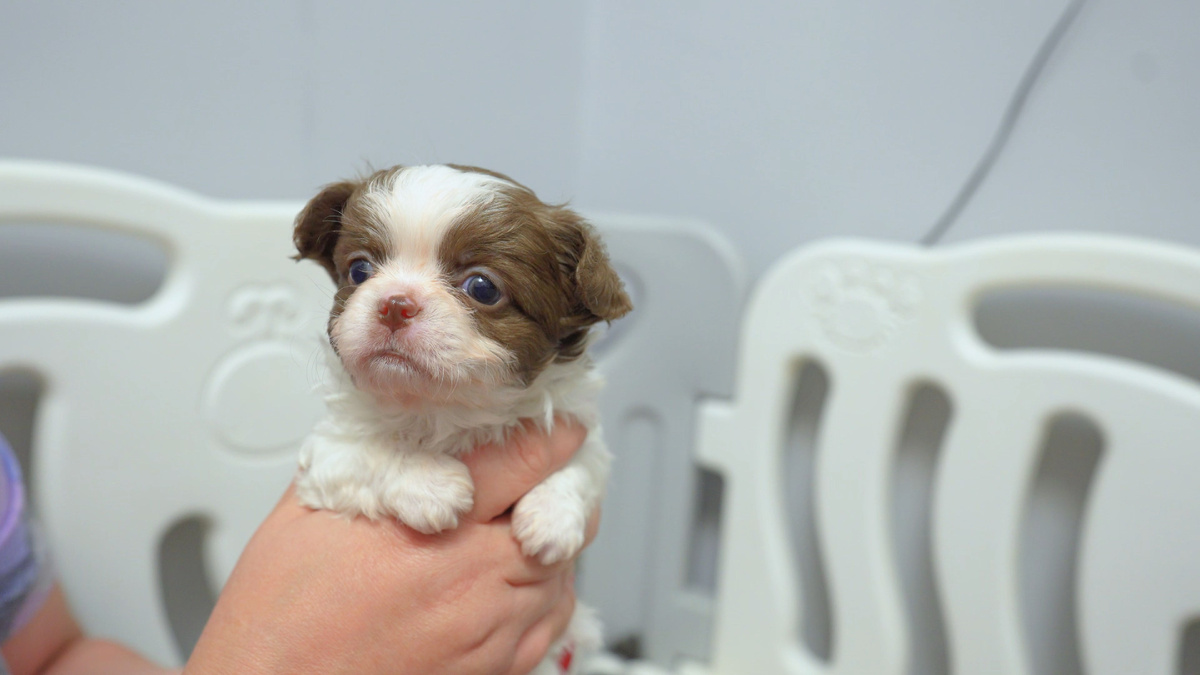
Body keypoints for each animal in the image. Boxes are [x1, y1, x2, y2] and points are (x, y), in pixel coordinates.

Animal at [292, 164, 628, 672]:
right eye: (360, 270)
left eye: (482, 287)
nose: (395, 302)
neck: (444, 410)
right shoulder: (329, 453)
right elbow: (372, 452)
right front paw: (431, 484)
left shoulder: (578, 432)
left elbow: (583, 468)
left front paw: (552, 517)